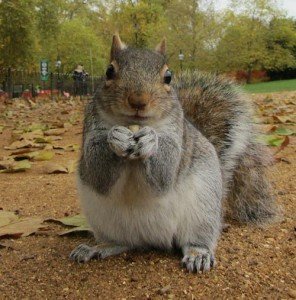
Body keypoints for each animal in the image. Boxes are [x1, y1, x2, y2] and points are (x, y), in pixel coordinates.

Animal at [70, 34, 278, 272]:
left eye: (168, 77)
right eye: (109, 71)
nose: (138, 100)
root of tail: (151, 239)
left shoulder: (176, 137)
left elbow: (165, 173)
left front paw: (151, 140)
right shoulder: (91, 129)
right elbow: (97, 173)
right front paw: (116, 137)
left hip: (203, 209)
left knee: (196, 239)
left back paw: (198, 254)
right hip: (103, 219)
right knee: (122, 242)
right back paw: (96, 248)